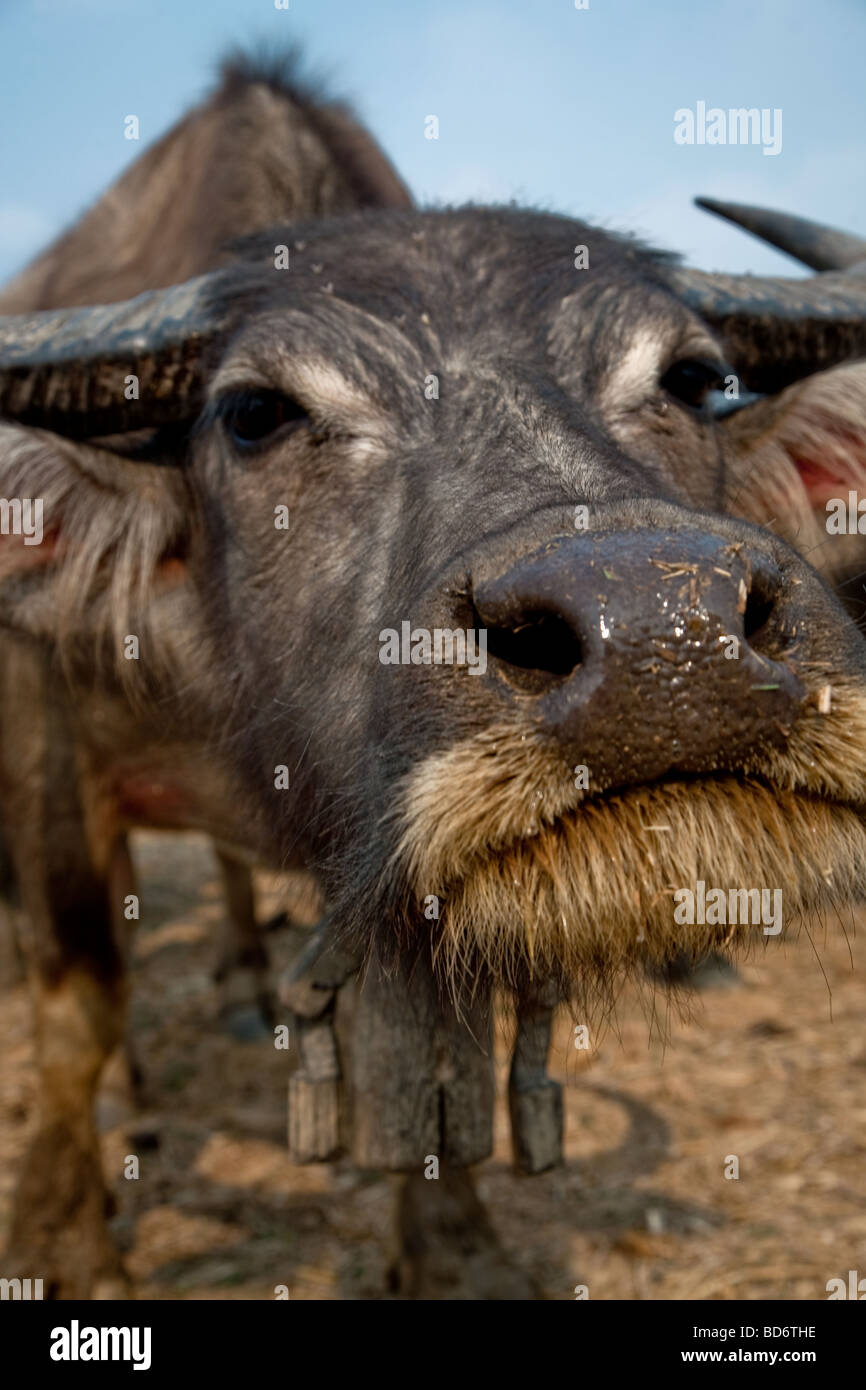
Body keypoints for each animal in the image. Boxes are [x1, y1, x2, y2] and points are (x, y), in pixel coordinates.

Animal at [1, 54, 866, 1295]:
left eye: (694, 379)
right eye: (255, 413)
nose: (661, 634)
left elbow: (431, 1032)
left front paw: (454, 1242)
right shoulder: (45, 748)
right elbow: (78, 1003)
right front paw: (65, 1245)